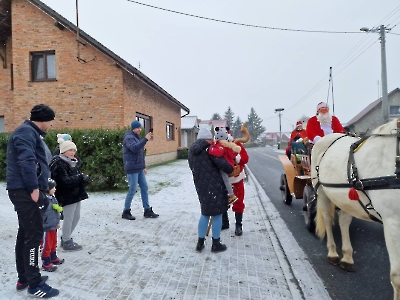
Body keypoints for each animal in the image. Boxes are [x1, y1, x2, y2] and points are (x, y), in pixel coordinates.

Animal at [312, 118, 400, 298]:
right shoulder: (392, 222)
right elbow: (397, 278)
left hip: (346, 199)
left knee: (344, 221)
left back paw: (347, 257)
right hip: (321, 190)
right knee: (328, 219)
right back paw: (333, 253)